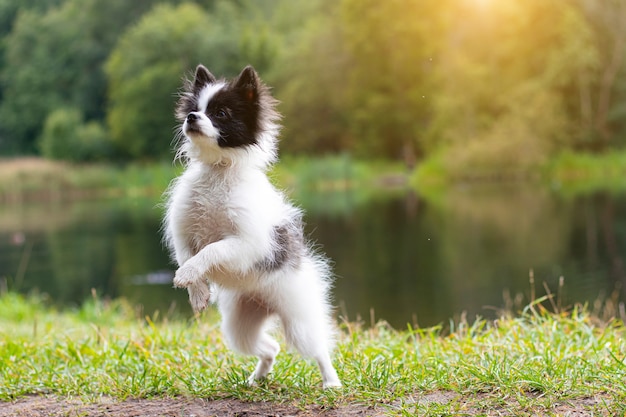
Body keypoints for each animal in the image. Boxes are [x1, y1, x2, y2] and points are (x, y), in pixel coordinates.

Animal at [161, 64, 342, 386]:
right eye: (195, 108)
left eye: (220, 113)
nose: (191, 117)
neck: (218, 170)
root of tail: (265, 302)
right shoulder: (184, 233)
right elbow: (187, 256)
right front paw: (197, 291)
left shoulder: (245, 243)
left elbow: (211, 250)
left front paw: (191, 274)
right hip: (239, 328)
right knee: (270, 348)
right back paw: (256, 379)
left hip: (299, 323)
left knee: (319, 349)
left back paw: (331, 382)